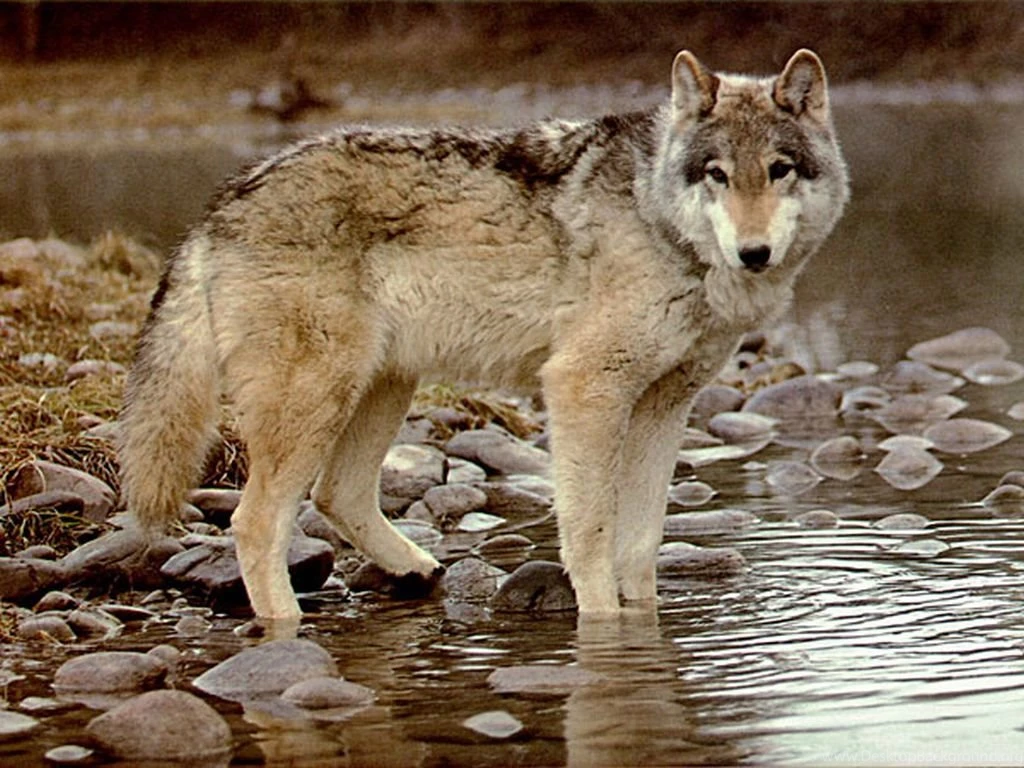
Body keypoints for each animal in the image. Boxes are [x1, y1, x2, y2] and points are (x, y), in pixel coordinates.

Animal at [119, 49, 848, 619]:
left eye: (779, 170)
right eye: (717, 174)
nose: (754, 253)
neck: (659, 221)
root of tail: (222, 202)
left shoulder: (664, 407)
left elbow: (641, 545)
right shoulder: (583, 389)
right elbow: (591, 534)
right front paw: (602, 626)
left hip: (383, 386)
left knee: (337, 495)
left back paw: (417, 571)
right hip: (317, 401)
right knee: (256, 523)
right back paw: (287, 632)